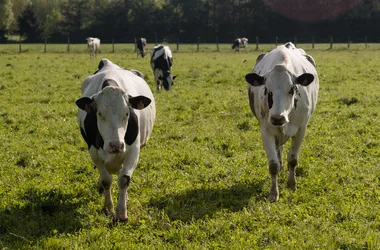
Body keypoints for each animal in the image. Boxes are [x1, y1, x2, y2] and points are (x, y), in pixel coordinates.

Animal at [75, 59, 156, 223]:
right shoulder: (94, 152)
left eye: (127, 113)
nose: (116, 145)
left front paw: (121, 213)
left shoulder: (133, 150)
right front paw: (108, 207)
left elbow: (124, 179)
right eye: (99, 113)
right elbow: (107, 180)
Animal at [245, 42, 320, 202]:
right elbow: (273, 165)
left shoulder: (301, 130)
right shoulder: (266, 132)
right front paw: (274, 192)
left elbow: (292, 159)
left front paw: (292, 184)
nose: (277, 118)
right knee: (278, 149)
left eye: (292, 89)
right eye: (267, 89)